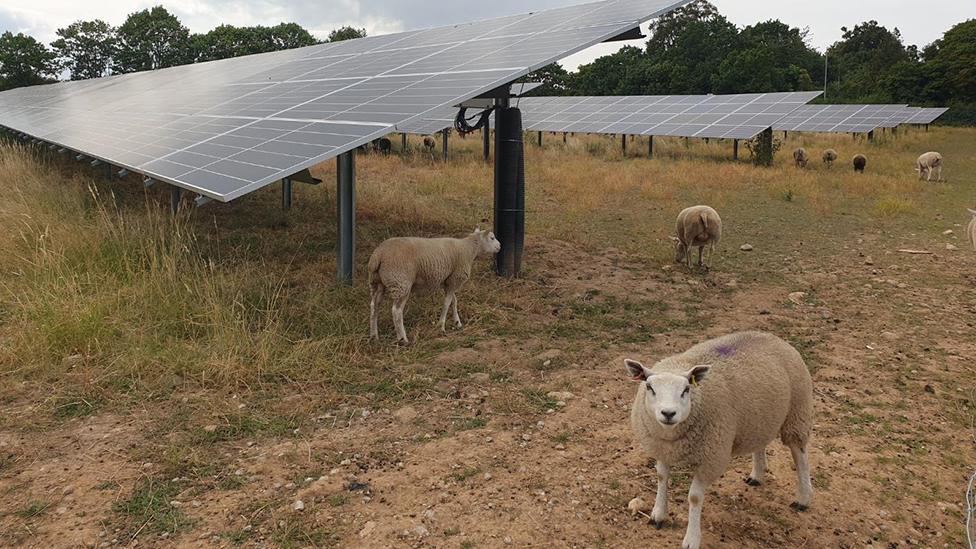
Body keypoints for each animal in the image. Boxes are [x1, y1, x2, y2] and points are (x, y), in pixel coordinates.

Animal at [368, 227, 500, 342]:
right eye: (492, 237)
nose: (500, 246)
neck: (468, 249)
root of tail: (378, 255)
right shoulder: (455, 278)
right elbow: (447, 303)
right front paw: (441, 327)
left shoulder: (448, 281)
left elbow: (454, 301)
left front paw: (457, 323)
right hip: (401, 282)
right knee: (396, 311)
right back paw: (403, 339)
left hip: (378, 283)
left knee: (374, 305)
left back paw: (374, 336)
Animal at [624, 330, 816, 548]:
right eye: (650, 387)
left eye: (686, 389)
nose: (668, 413)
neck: (671, 437)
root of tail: (770, 335)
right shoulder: (662, 449)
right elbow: (661, 478)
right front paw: (658, 514)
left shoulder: (710, 459)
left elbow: (694, 498)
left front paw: (691, 539)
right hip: (759, 419)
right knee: (760, 444)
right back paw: (757, 476)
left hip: (797, 412)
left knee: (800, 455)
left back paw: (803, 498)